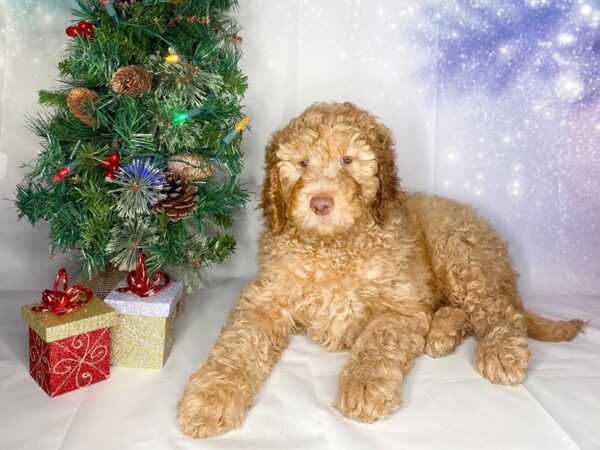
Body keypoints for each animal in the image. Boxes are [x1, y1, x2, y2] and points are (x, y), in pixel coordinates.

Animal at [177, 101, 580, 436]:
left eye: (347, 160)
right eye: (302, 163)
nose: (320, 203)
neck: (334, 246)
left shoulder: (399, 305)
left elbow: (378, 341)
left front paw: (364, 386)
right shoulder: (266, 299)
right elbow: (238, 344)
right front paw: (211, 397)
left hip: (459, 252)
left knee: (500, 311)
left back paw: (499, 352)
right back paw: (442, 332)